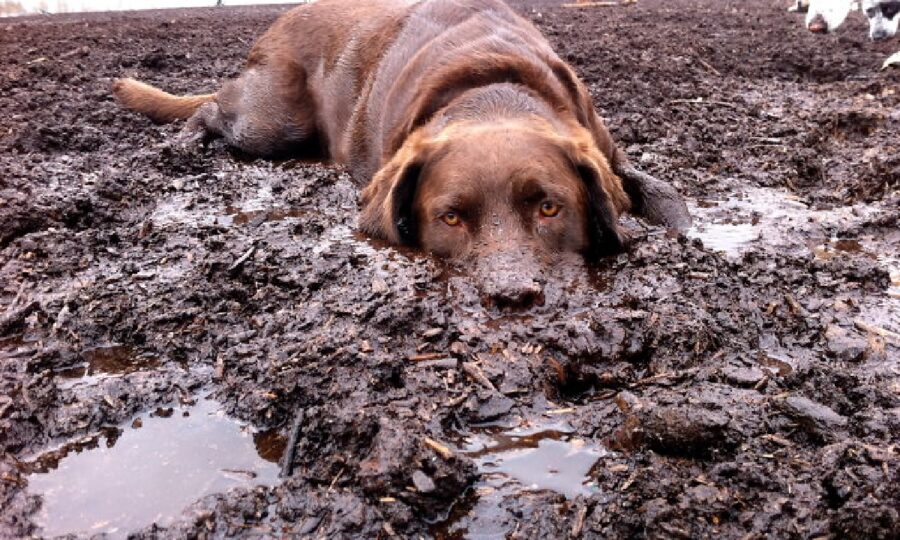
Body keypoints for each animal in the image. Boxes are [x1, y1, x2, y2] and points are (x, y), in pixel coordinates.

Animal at [112, 0, 688, 308]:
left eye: (550, 208)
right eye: (449, 218)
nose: (511, 296)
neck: (492, 90)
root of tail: (283, 16)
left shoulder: (604, 149)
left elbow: (664, 192)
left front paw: (686, 232)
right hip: (271, 123)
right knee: (213, 107)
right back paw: (185, 143)